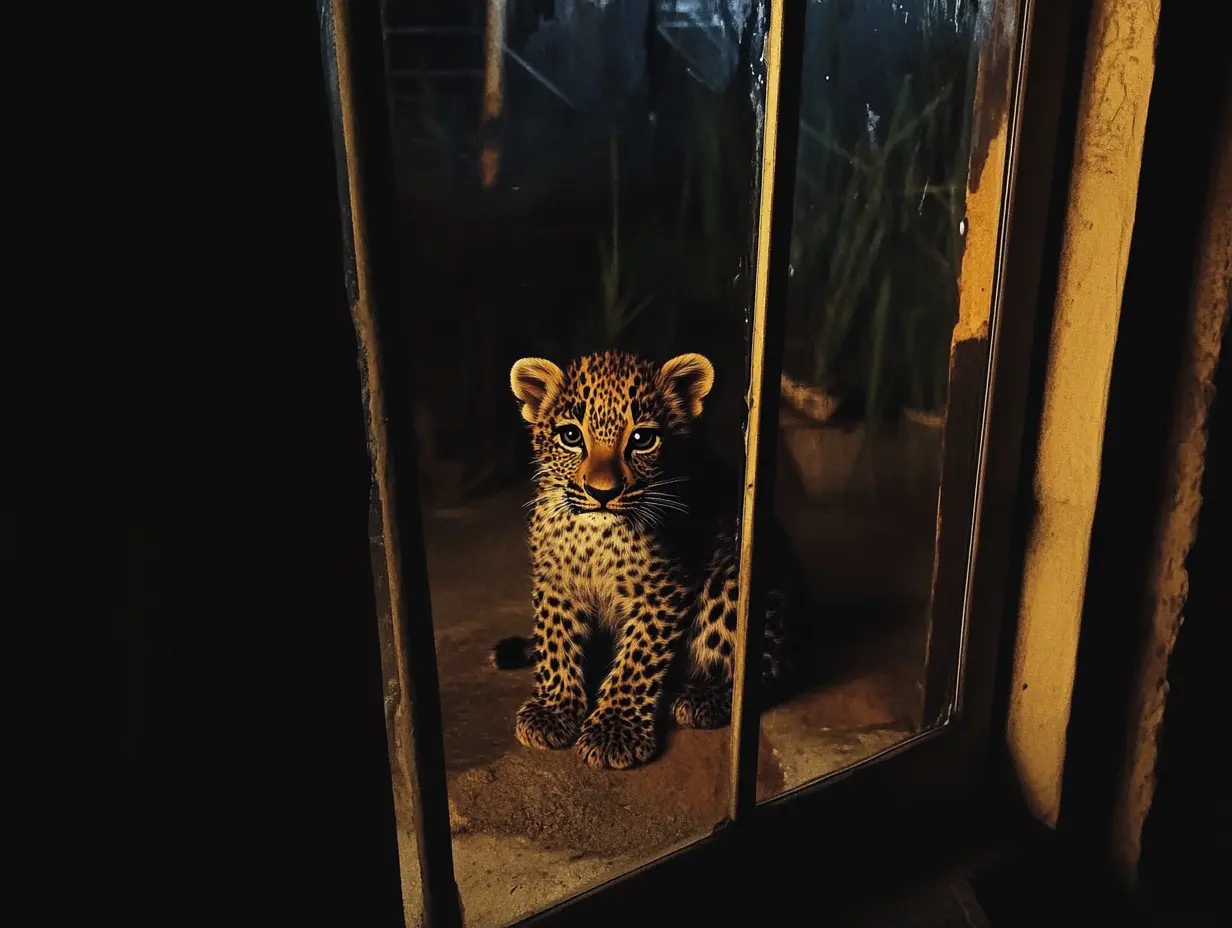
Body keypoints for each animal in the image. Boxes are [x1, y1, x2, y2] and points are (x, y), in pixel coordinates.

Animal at [488, 349, 800, 770]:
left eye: (642, 439)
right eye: (571, 436)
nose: (602, 493)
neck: (596, 537)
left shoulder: (661, 589)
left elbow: (637, 658)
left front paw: (614, 730)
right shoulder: (556, 579)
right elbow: (556, 641)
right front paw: (554, 710)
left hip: (730, 584)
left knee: (767, 669)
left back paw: (703, 698)